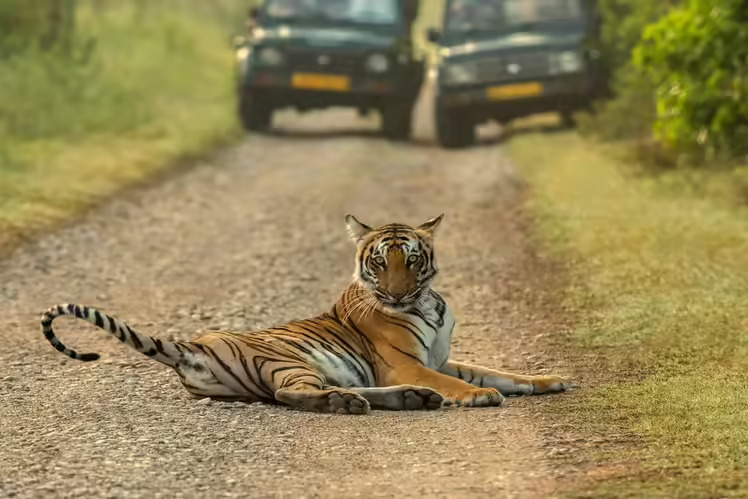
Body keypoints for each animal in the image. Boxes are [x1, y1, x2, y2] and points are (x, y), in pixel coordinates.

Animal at [41, 215, 575, 415]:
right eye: (379, 262)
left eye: (412, 259)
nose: (397, 293)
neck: (428, 301)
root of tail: (194, 345)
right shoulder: (405, 363)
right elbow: (462, 383)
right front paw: (478, 396)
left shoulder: (441, 359)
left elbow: (500, 371)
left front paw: (548, 380)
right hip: (289, 360)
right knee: (291, 394)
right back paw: (356, 404)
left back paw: (409, 399)